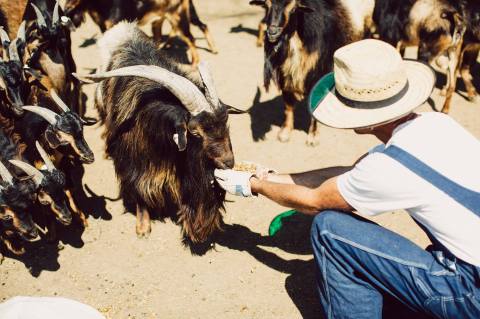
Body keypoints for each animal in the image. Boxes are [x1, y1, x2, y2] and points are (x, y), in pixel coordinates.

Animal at [75, 21, 238, 242]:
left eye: (225, 123)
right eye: (195, 132)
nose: (228, 162)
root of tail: (121, 26)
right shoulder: (134, 163)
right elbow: (139, 190)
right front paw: (143, 228)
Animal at [251, 0, 376, 145]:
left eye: (294, 8)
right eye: (266, 5)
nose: (272, 32)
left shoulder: (319, 74)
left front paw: (313, 137)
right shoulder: (286, 74)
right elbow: (288, 106)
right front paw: (285, 133)